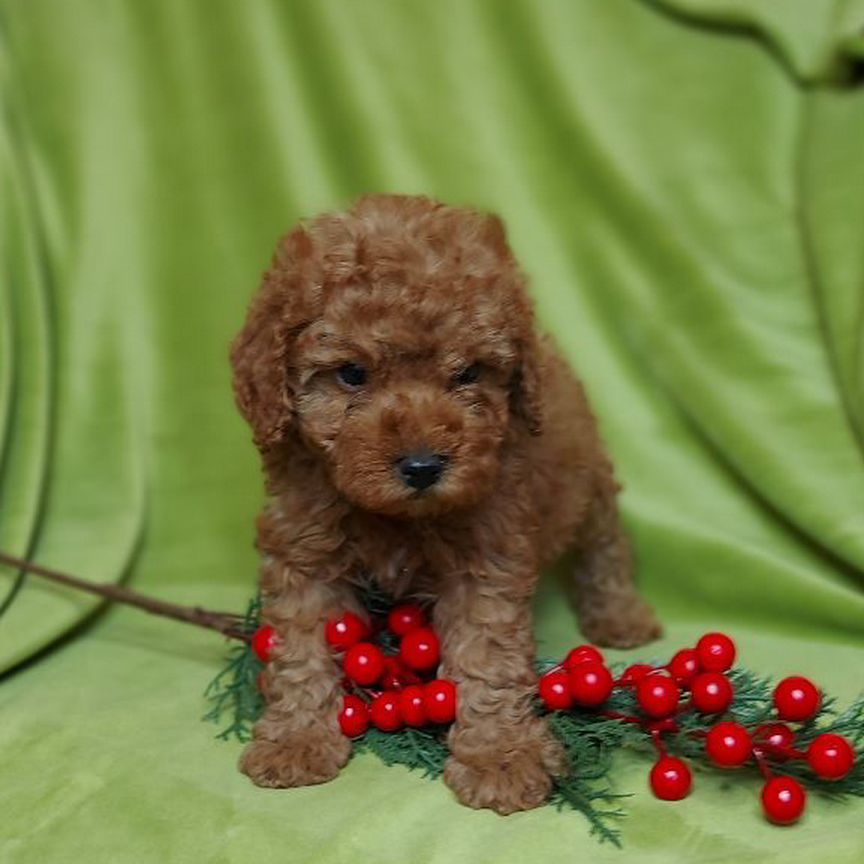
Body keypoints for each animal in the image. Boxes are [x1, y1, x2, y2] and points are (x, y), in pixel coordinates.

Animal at [230, 192, 660, 812]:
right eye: (352, 374)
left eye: (469, 372)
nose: (423, 466)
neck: (392, 517)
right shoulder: (303, 552)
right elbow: (300, 652)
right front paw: (296, 740)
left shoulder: (487, 556)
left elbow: (488, 658)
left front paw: (501, 756)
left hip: (592, 484)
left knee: (606, 547)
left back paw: (619, 614)